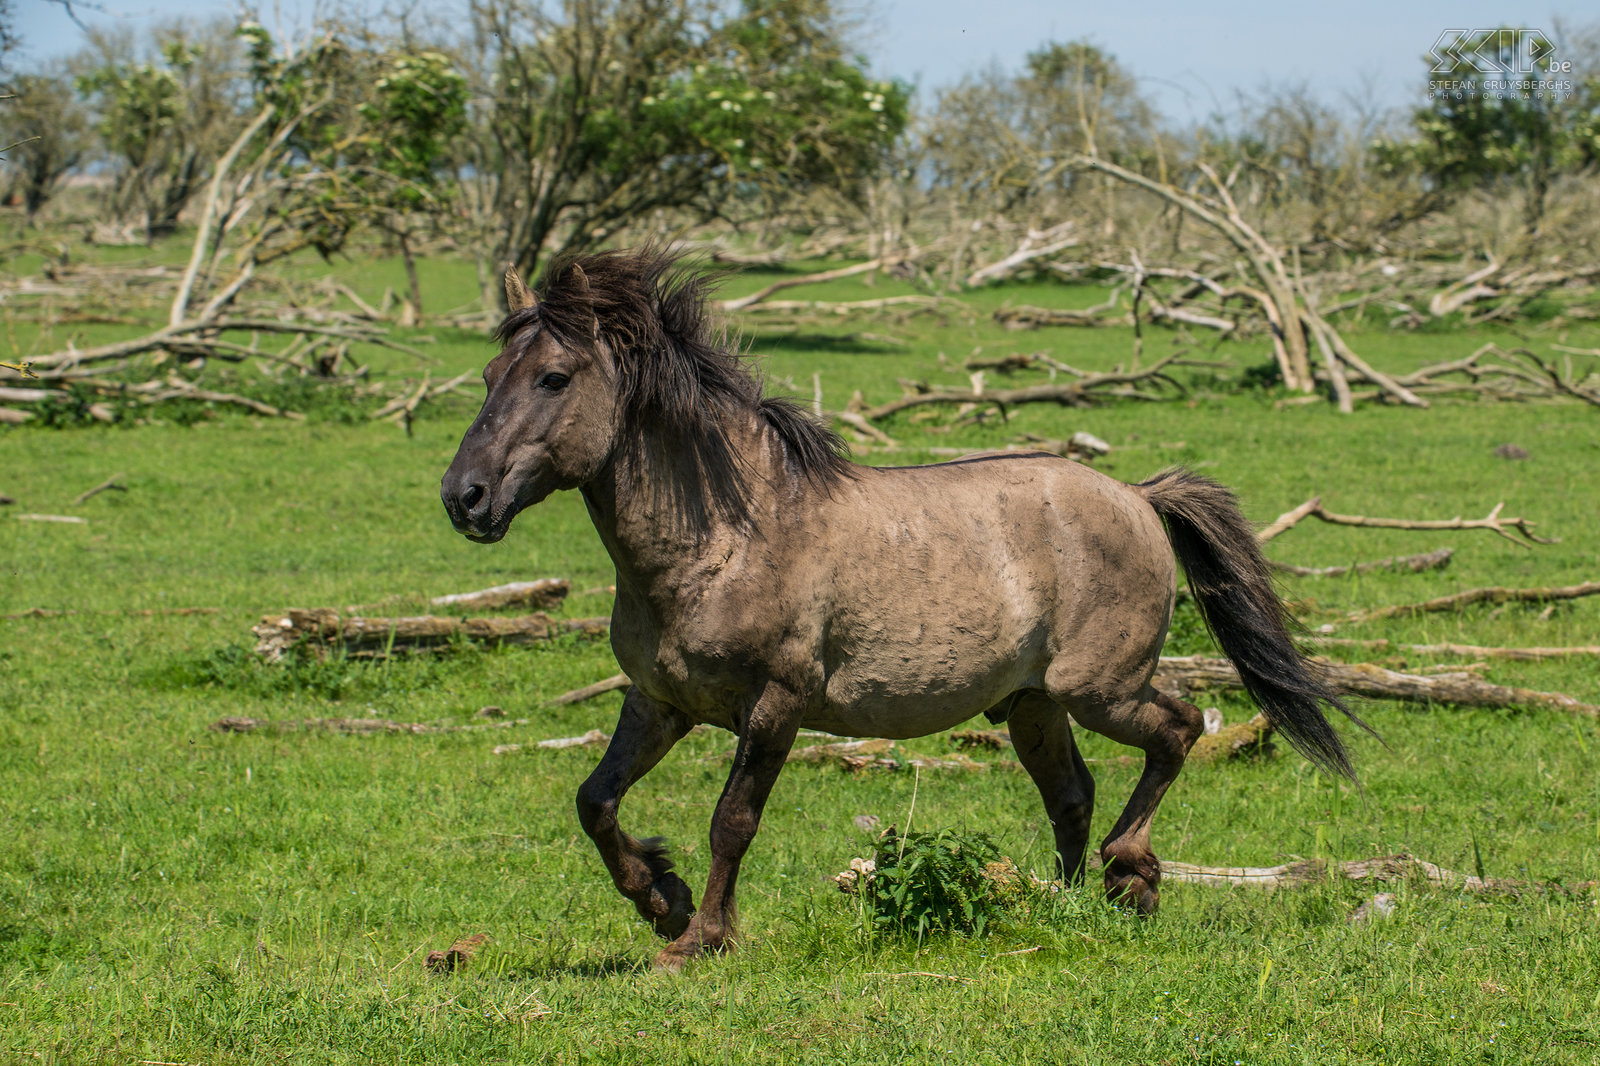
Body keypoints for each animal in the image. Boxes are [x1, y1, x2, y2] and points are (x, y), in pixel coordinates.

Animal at [444, 244, 1369, 966]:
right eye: (490, 376)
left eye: (554, 377)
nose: (465, 497)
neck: (728, 535)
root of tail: (1138, 496)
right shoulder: (660, 701)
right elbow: (595, 801)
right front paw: (661, 899)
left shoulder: (775, 705)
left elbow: (731, 821)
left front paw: (701, 937)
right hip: (1032, 704)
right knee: (1071, 795)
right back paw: (1064, 907)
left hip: (1098, 688)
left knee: (1176, 732)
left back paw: (1130, 876)